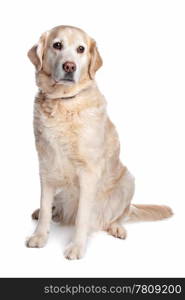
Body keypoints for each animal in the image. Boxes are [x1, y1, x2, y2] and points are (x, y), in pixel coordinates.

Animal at [26, 25, 173, 258]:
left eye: (81, 49)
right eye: (57, 45)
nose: (69, 66)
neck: (64, 102)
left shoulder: (88, 172)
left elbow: (83, 217)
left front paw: (77, 247)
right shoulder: (46, 164)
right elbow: (45, 203)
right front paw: (39, 235)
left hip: (127, 181)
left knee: (120, 214)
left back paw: (116, 227)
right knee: (54, 208)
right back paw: (44, 211)